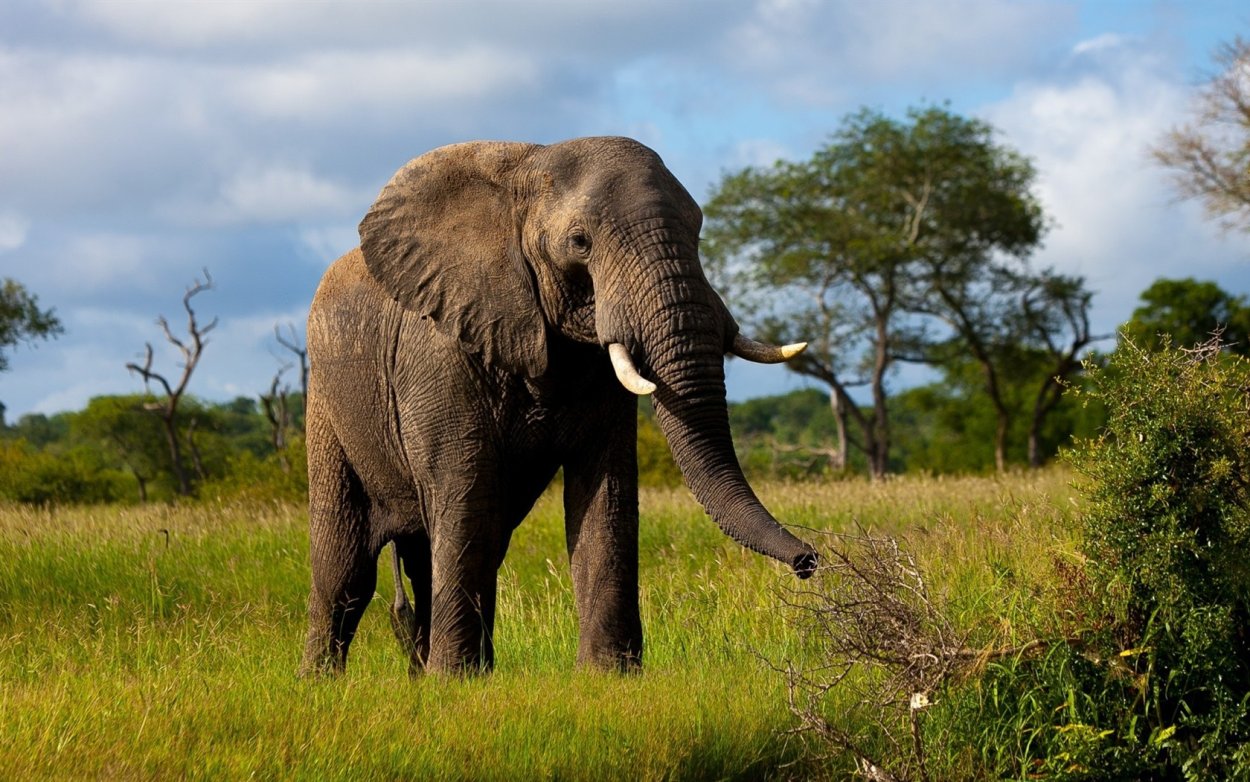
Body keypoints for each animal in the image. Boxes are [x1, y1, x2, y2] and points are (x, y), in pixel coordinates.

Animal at [297, 135, 815, 674]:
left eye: (697, 230)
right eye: (580, 242)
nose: (808, 561)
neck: (528, 166)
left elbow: (605, 492)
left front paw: (609, 675)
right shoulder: (440, 349)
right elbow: (467, 488)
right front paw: (454, 682)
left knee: (437, 553)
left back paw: (430, 673)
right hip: (326, 406)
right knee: (347, 567)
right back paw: (323, 681)